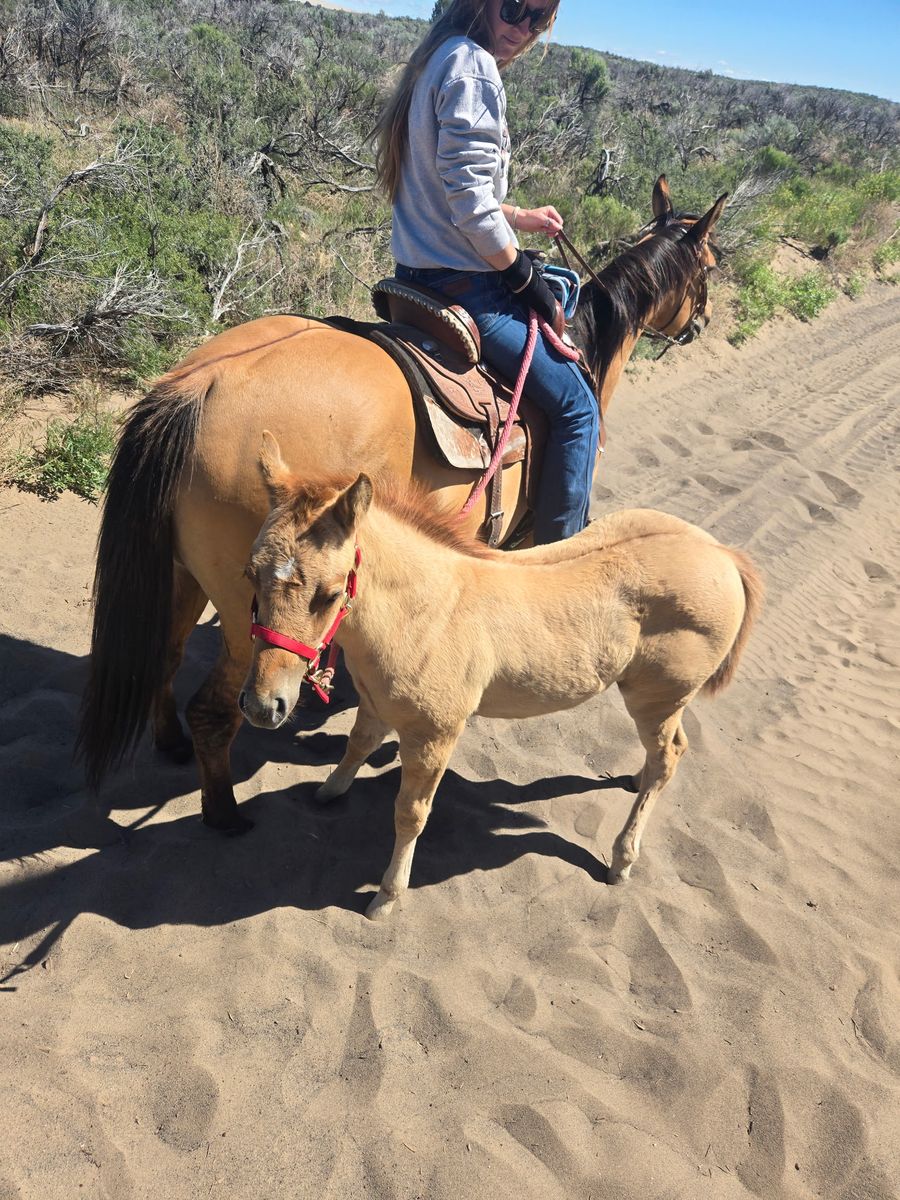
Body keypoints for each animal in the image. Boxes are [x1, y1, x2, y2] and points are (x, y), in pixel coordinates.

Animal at [78, 177, 727, 836]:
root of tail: (197, 386)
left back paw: (171, 743)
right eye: (711, 264)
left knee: (164, 657)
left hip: (183, 573)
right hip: (243, 611)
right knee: (215, 710)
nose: (700, 324)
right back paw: (226, 815)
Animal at [239, 433, 763, 919]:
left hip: (656, 698)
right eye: (250, 574)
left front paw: (386, 897)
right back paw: (637, 781)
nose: (263, 706)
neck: (425, 611)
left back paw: (622, 858)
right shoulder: (373, 702)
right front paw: (329, 791)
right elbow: (357, 746)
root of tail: (722, 554)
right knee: (662, 758)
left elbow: (411, 814)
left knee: (669, 755)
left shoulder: (435, 734)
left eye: (328, 594)